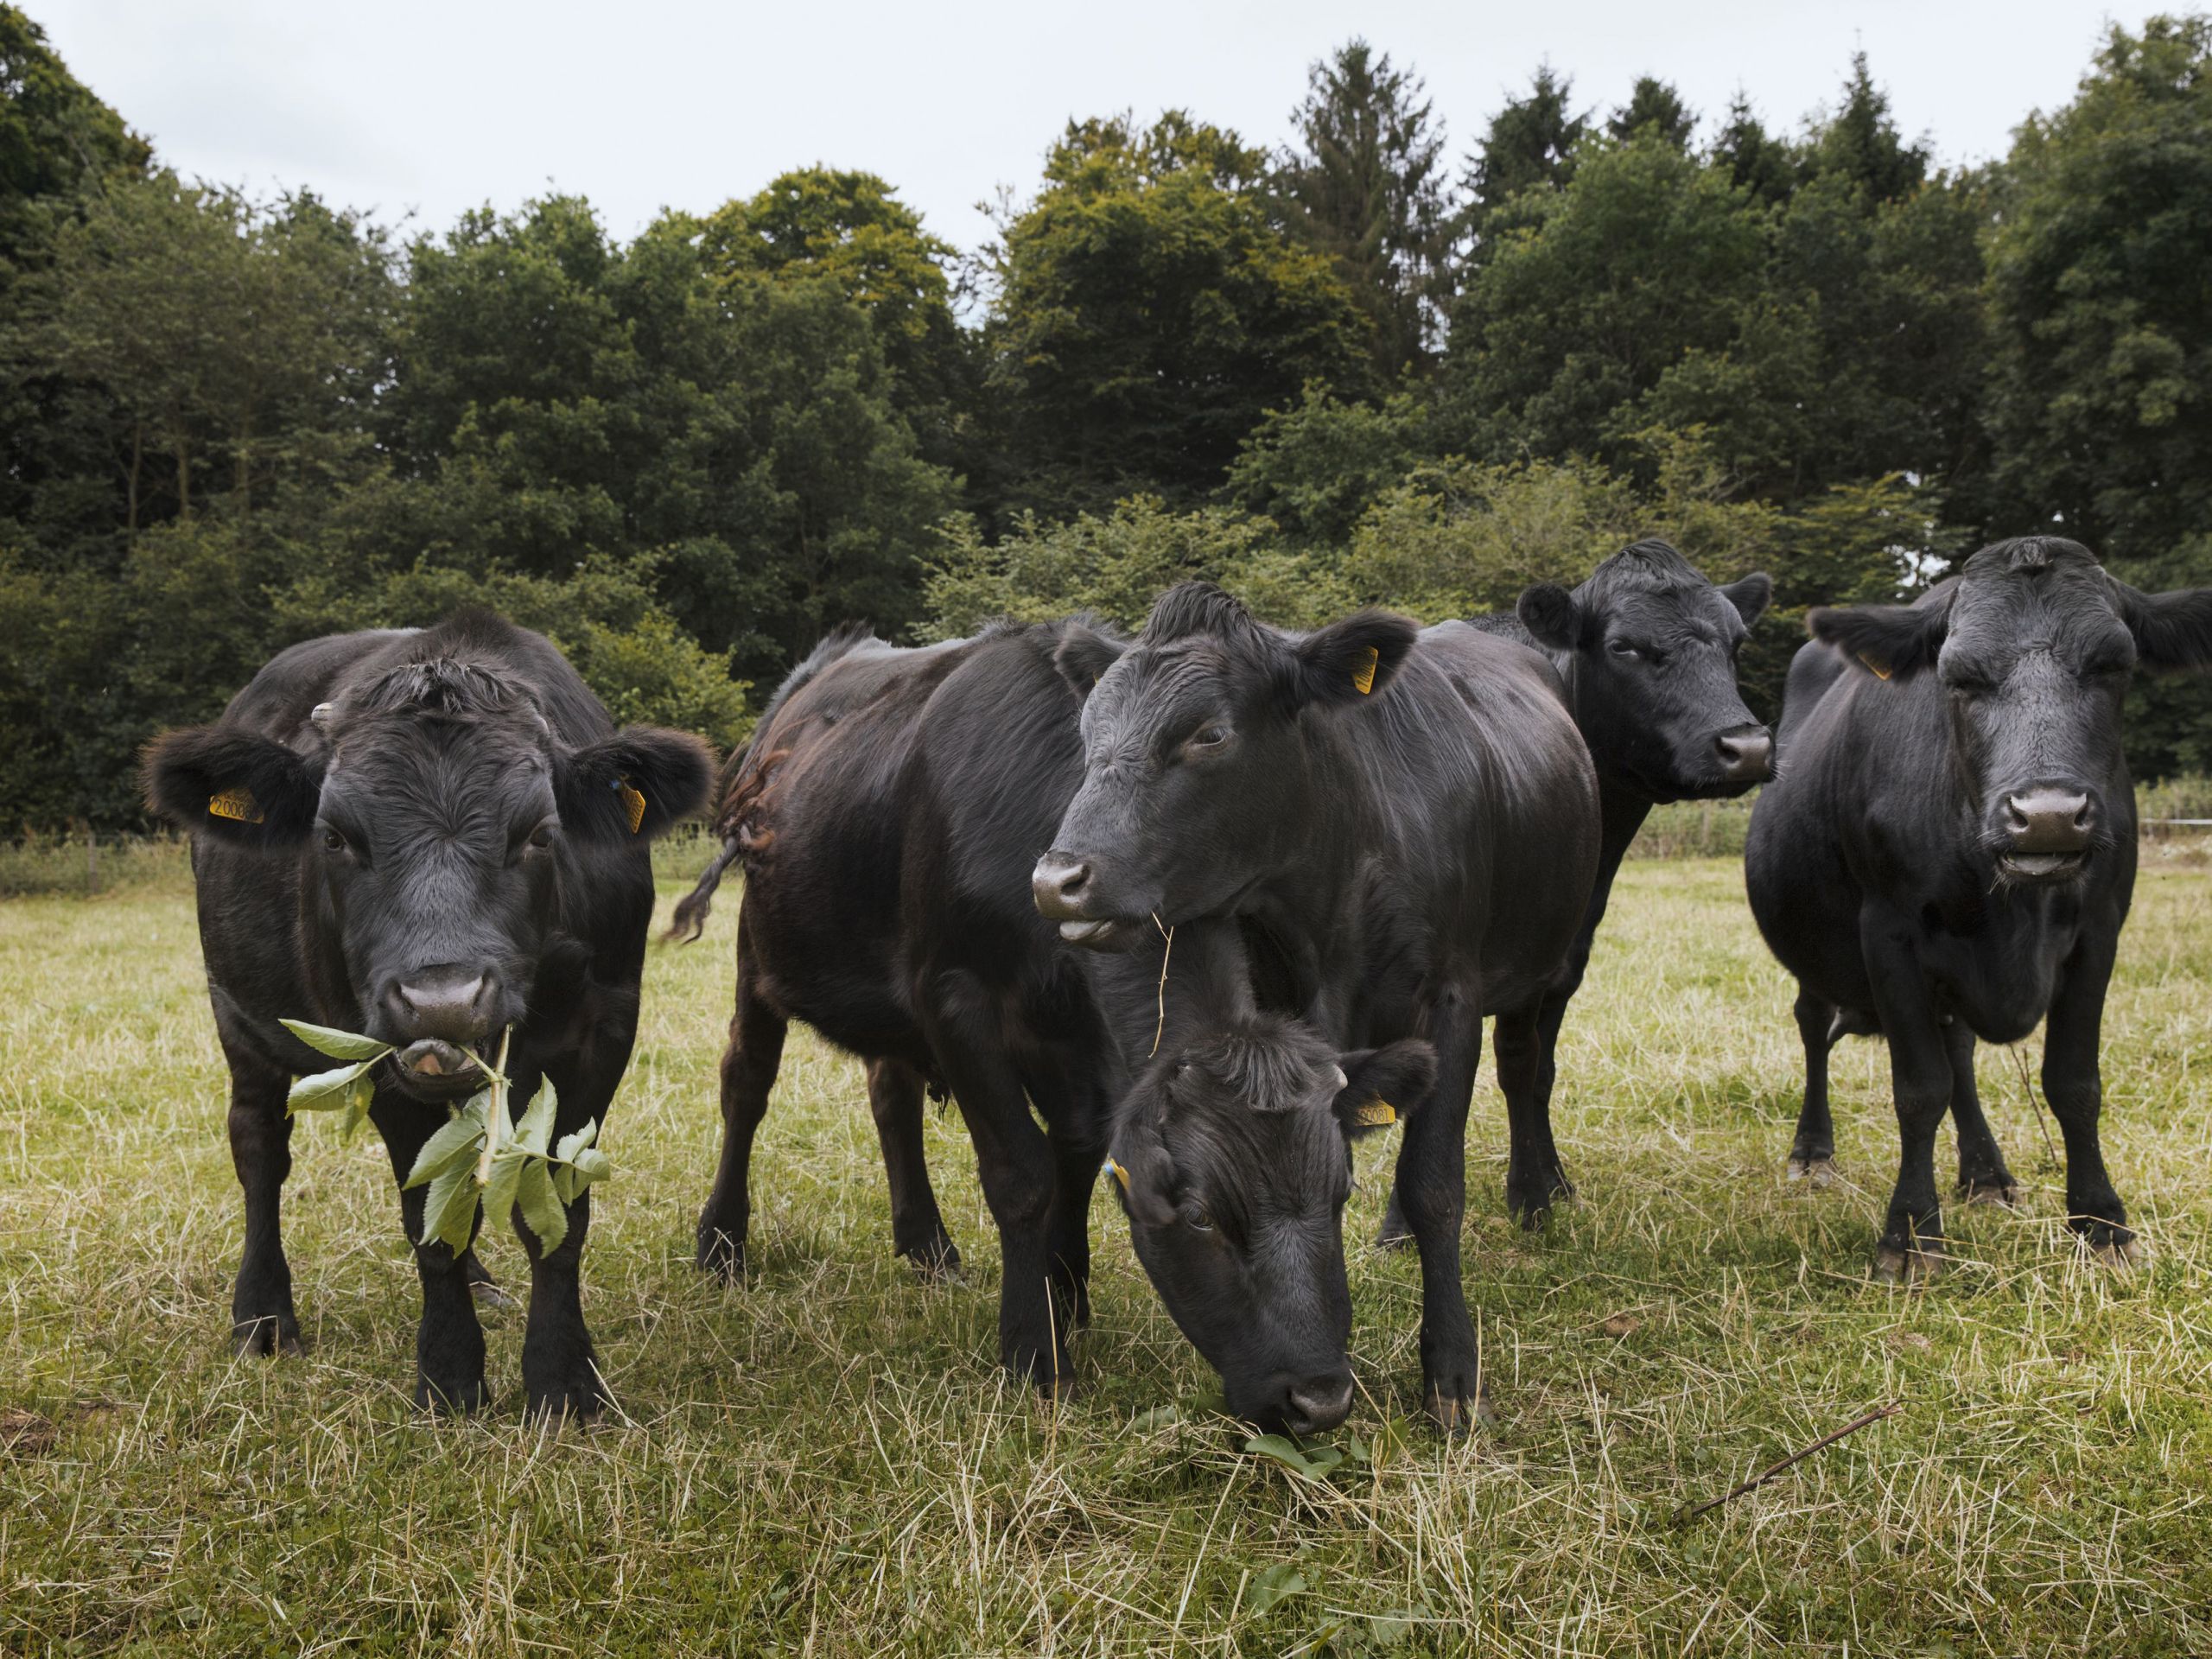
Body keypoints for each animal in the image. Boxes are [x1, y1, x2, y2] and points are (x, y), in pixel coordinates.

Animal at [144, 614, 708, 1415]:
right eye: (334, 836)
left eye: (540, 832)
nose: (443, 999)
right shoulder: (375, 1052)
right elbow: (425, 1226)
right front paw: (448, 1375)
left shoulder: (603, 1033)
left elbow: (556, 1221)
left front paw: (565, 1382)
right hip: (237, 1018)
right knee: (259, 1151)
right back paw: (262, 1318)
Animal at [672, 628, 1433, 1442]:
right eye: (1199, 1217)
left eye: (1341, 1193)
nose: (1320, 1398)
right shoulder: (954, 996)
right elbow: (1023, 1174)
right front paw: (1035, 1352)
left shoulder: (1077, 1037)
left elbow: (1077, 1155)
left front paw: (1066, 1297)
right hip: (760, 947)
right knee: (746, 1082)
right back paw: (722, 1244)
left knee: (890, 1094)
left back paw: (929, 1246)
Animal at [1026, 583, 1601, 1433]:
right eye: (1088, 732)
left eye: (1209, 734)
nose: (1057, 881)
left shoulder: (1452, 999)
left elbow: (1437, 1182)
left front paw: (1453, 1376)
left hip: (1547, 960)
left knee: (1525, 1069)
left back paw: (1536, 1199)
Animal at [1371, 539, 1770, 1238]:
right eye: (1624, 647)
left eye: (1737, 645)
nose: (1747, 747)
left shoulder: (1560, 959)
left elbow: (1537, 1073)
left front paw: (1547, 1183)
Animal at [1743, 539, 2212, 1282]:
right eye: (1958, 676)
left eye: (2114, 664)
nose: (2047, 817)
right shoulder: (1889, 934)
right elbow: (1918, 1087)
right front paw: (1910, 1234)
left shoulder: (2100, 931)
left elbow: (2073, 1084)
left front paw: (2102, 1223)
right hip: (1814, 949)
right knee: (1814, 1025)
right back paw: (1813, 1152)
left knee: (1958, 1047)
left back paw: (1986, 1172)